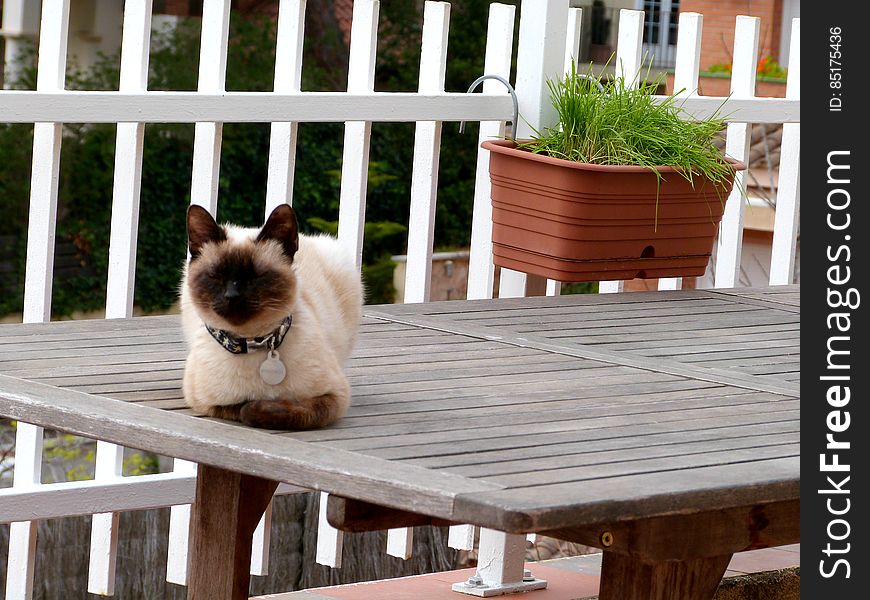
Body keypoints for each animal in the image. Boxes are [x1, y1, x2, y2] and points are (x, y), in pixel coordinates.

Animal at [181, 204, 364, 428]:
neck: (255, 341)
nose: (232, 296)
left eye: (256, 276)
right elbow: (243, 407)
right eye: (216, 276)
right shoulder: (208, 403)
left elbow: (269, 410)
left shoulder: (334, 396)